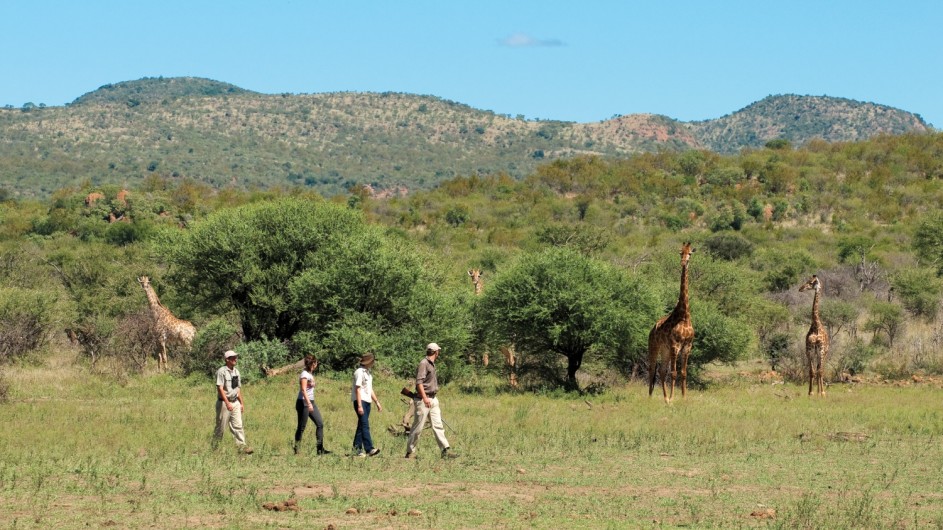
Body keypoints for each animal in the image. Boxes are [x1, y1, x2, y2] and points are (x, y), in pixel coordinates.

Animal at [644, 241, 696, 402]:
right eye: (680, 253)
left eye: (690, 253)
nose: (683, 262)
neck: (684, 316)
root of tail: (652, 329)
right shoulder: (675, 345)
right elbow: (673, 373)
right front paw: (673, 399)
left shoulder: (687, 346)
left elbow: (683, 373)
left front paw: (683, 398)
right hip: (654, 346)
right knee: (652, 368)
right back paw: (651, 397)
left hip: (664, 350)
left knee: (661, 370)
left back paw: (665, 398)